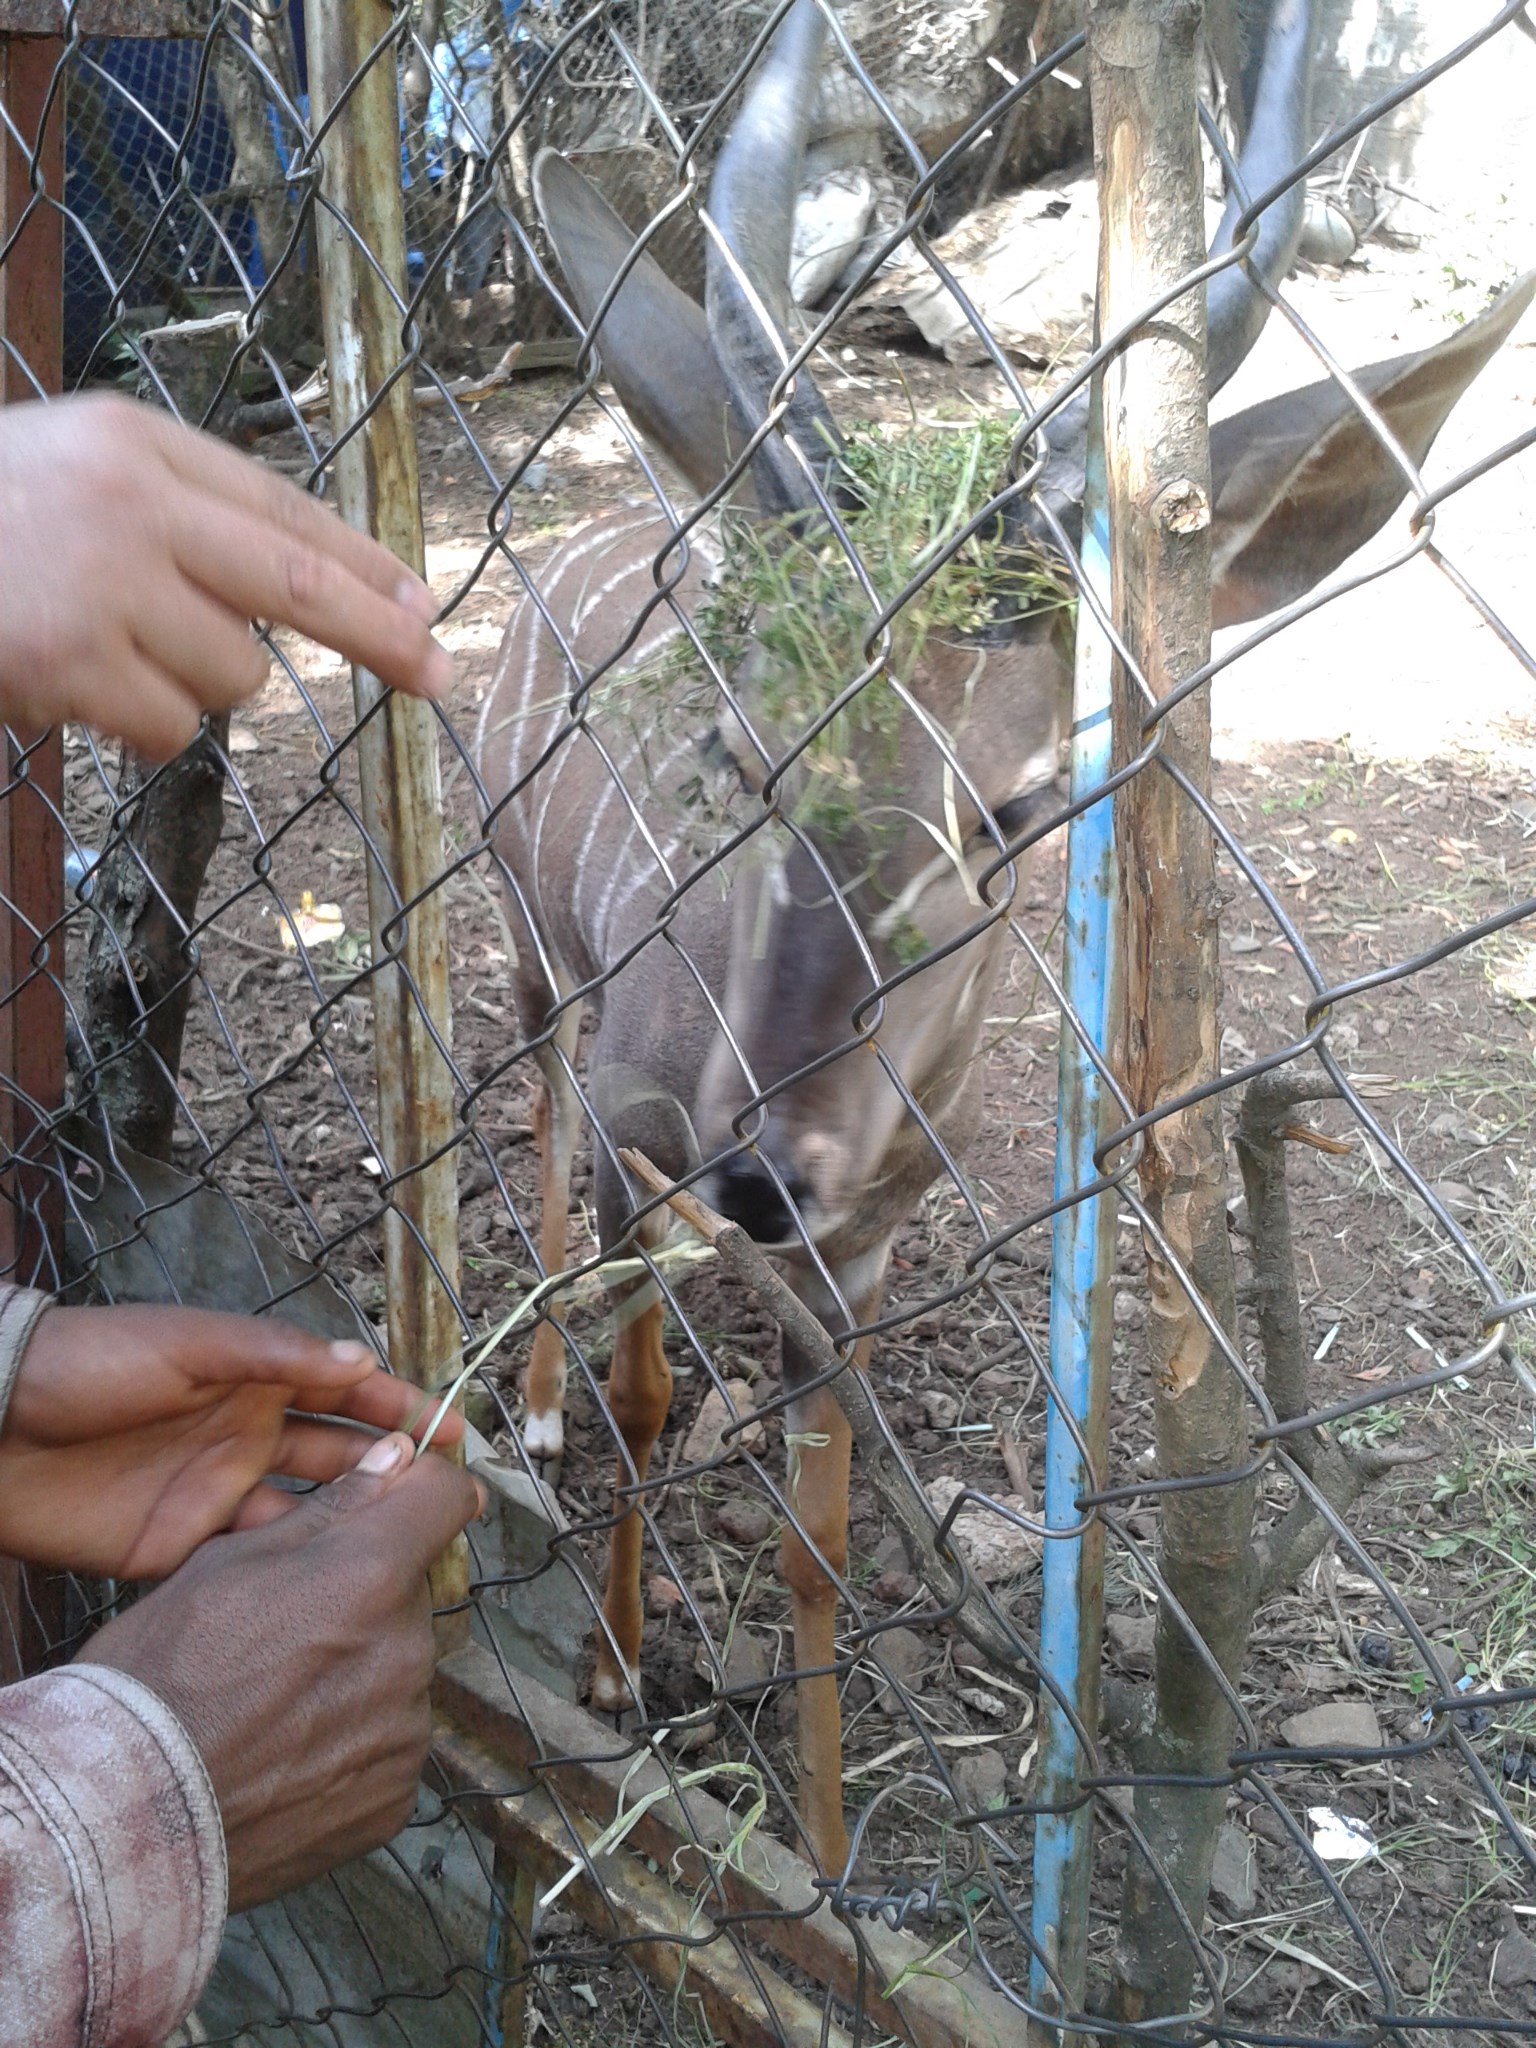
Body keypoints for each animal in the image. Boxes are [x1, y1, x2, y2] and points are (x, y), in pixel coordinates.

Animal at [475, 0, 1531, 1875]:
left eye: (1025, 797)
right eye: (737, 743)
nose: (768, 1160)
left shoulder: (866, 1247)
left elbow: (822, 1532)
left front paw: (827, 1849)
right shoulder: (639, 1126)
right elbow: (649, 1398)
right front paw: (604, 1673)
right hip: (537, 955)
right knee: (527, 1113)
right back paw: (524, 1395)